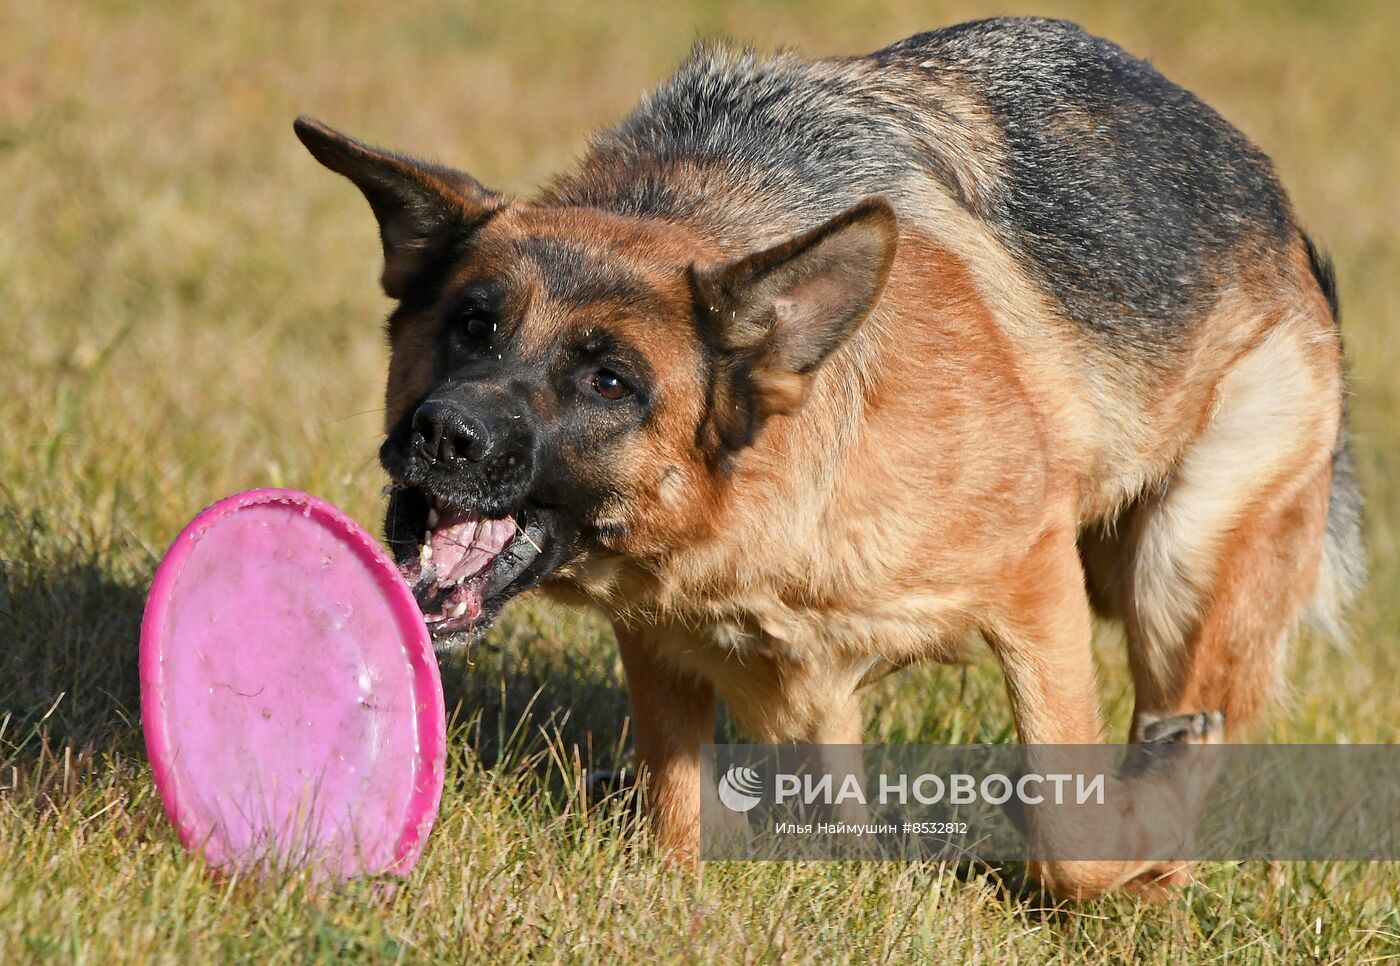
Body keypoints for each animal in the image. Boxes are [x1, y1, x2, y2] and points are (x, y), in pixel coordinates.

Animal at [292, 18, 1355, 896]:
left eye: (610, 383)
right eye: (472, 325)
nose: (444, 435)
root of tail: (1281, 219)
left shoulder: (1033, 578)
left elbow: (1067, 830)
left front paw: (1122, 846)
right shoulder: (664, 642)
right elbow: (679, 818)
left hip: (1183, 561)